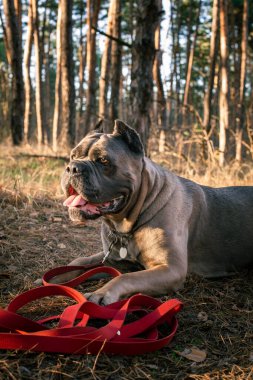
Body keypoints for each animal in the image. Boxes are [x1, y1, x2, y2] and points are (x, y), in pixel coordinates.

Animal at [52, 120, 253, 304]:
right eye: (72, 156)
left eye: (103, 161)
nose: (72, 167)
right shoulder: (111, 258)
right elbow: (80, 261)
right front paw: (54, 278)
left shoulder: (170, 269)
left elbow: (125, 277)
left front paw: (102, 293)